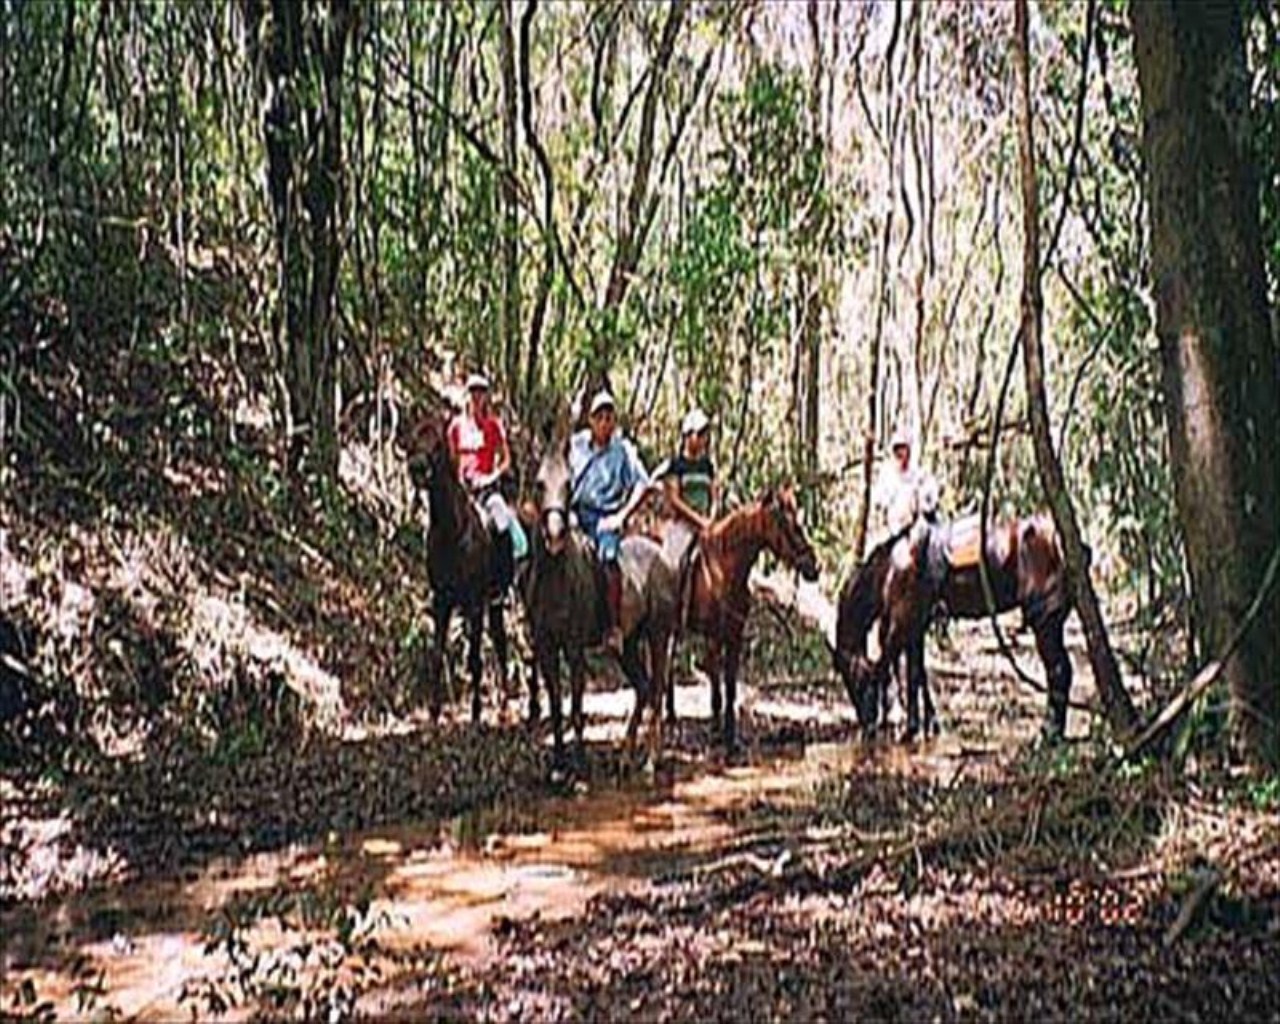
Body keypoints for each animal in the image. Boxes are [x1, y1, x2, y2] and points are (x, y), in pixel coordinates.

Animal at [407, 412, 512, 721]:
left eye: (437, 443)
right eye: (414, 438)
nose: (417, 468)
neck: (451, 534)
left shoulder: (474, 604)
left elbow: (474, 659)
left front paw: (476, 713)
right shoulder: (441, 601)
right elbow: (437, 654)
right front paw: (434, 712)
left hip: (494, 601)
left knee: (502, 646)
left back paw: (505, 707)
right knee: (500, 643)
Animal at [519, 430, 680, 768]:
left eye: (568, 484)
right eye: (540, 484)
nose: (555, 535)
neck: (556, 579)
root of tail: (662, 555)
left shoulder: (574, 647)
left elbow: (577, 706)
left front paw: (579, 763)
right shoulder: (546, 647)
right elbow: (556, 706)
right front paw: (558, 763)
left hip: (658, 635)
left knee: (657, 688)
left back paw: (651, 758)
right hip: (629, 643)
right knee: (643, 688)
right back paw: (626, 755)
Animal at [670, 488, 819, 752]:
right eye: (789, 524)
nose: (815, 566)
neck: (722, 571)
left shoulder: (735, 635)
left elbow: (730, 687)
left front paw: (731, 738)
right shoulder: (713, 637)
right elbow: (716, 688)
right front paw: (716, 734)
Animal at [834, 517, 1075, 742]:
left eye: (852, 679)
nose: (867, 728)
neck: (891, 568)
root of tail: (1059, 539)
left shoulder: (901, 625)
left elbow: (887, 670)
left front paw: (910, 730)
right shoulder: (915, 628)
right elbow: (916, 674)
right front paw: (924, 726)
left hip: (1044, 622)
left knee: (1058, 670)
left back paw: (1049, 733)